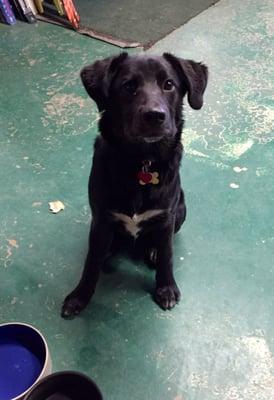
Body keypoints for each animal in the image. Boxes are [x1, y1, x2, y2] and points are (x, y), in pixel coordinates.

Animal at [61, 52, 208, 318]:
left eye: (169, 84)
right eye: (128, 86)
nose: (155, 115)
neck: (142, 163)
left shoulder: (166, 217)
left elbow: (168, 255)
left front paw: (166, 288)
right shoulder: (101, 218)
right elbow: (91, 262)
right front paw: (79, 296)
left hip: (181, 209)